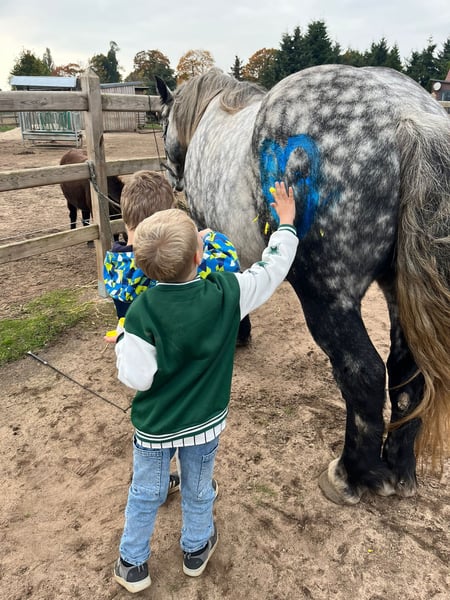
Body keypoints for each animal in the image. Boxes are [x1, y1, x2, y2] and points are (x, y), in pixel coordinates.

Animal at [155, 66, 450, 505]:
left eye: (160, 120)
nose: (171, 176)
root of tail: (408, 116)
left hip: (328, 296)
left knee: (363, 373)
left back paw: (351, 474)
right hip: (399, 295)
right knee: (407, 376)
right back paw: (400, 470)